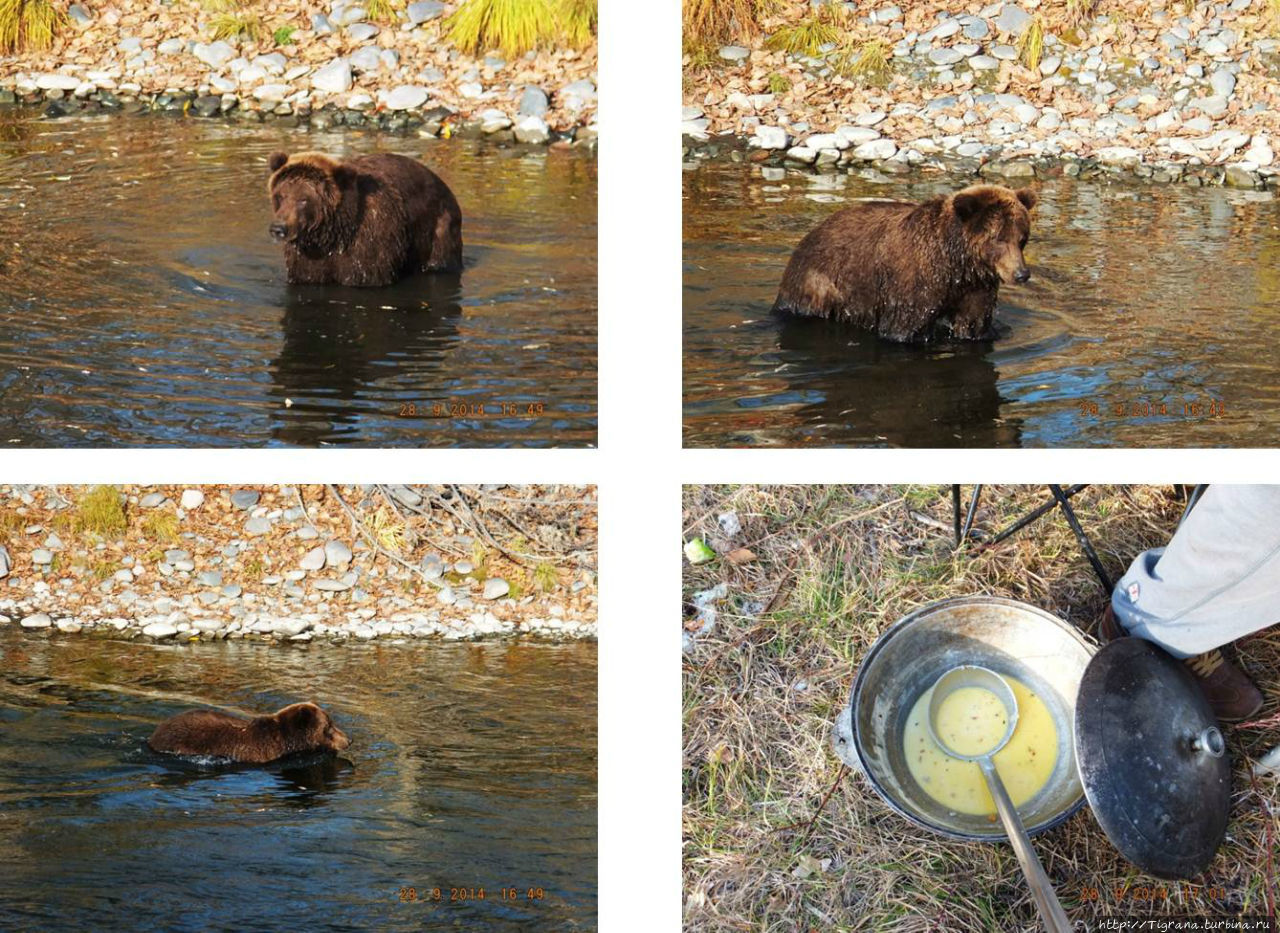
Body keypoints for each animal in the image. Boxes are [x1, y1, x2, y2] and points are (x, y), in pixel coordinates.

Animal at [263, 151, 460, 287]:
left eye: (303, 199)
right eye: (280, 196)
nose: (278, 228)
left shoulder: (370, 242)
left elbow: (366, 276)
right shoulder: (308, 256)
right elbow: (307, 275)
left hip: (438, 225)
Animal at [768, 183, 1039, 342]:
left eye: (1022, 238)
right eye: (999, 238)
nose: (1021, 274)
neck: (956, 263)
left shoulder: (975, 286)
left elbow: (974, 323)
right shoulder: (916, 281)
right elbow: (905, 327)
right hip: (823, 281)